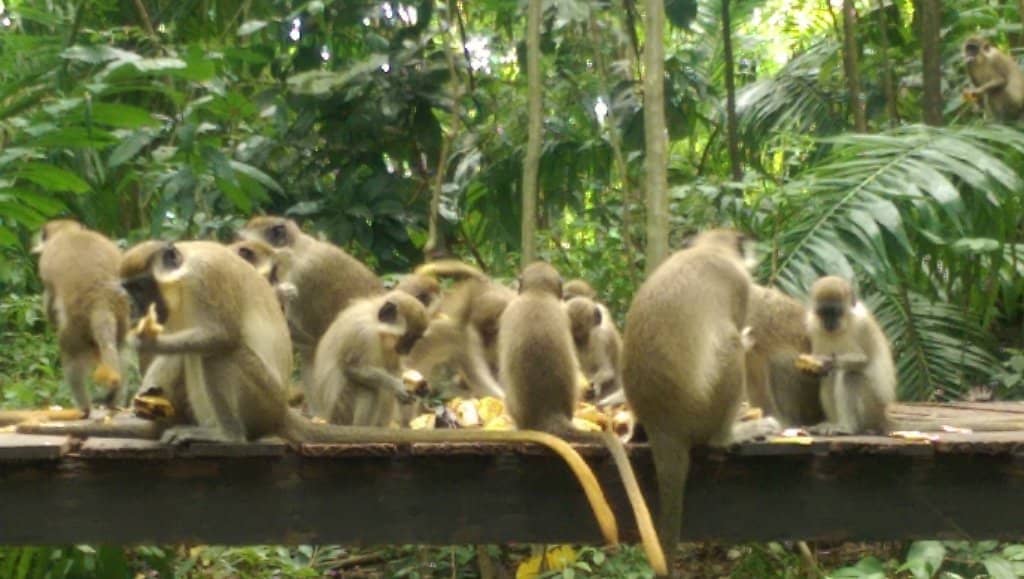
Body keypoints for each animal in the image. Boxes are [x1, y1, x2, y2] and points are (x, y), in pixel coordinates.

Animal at [33, 219, 130, 416]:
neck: (67, 231)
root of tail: (101, 300)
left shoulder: (45, 262)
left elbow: (50, 297)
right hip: (121, 318)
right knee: (121, 350)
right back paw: (114, 402)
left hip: (77, 326)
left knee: (71, 357)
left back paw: (84, 409)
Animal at [310, 291, 428, 426]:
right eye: (409, 338)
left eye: (415, 339)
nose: (408, 350)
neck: (376, 326)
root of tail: (330, 419)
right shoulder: (361, 332)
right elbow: (352, 368)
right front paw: (396, 386)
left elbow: (394, 369)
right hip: (341, 410)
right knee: (369, 388)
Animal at [622, 229, 781, 564]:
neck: (711, 249)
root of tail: (663, 426)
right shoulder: (740, 284)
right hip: (701, 410)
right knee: (731, 343)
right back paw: (727, 435)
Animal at [802, 276, 897, 435]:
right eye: (823, 312)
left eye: (835, 312)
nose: (829, 322)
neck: (843, 325)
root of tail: (883, 418)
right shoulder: (812, 325)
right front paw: (812, 369)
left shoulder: (862, 324)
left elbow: (864, 361)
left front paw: (831, 361)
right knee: (830, 377)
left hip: (873, 411)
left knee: (850, 376)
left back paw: (847, 427)